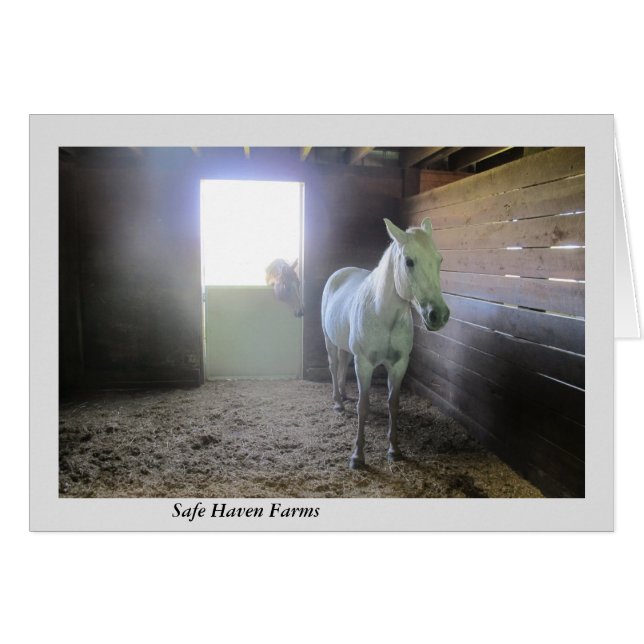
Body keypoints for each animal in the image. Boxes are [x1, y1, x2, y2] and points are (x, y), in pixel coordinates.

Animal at [321, 217, 450, 469]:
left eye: (439, 260)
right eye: (409, 261)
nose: (438, 315)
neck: (383, 314)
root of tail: (340, 273)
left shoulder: (399, 365)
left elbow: (393, 404)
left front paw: (394, 450)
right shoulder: (364, 364)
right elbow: (363, 406)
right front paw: (357, 456)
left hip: (345, 348)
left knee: (343, 364)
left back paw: (344, 395)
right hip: (329, 341)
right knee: (333, 366)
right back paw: (338, 403)